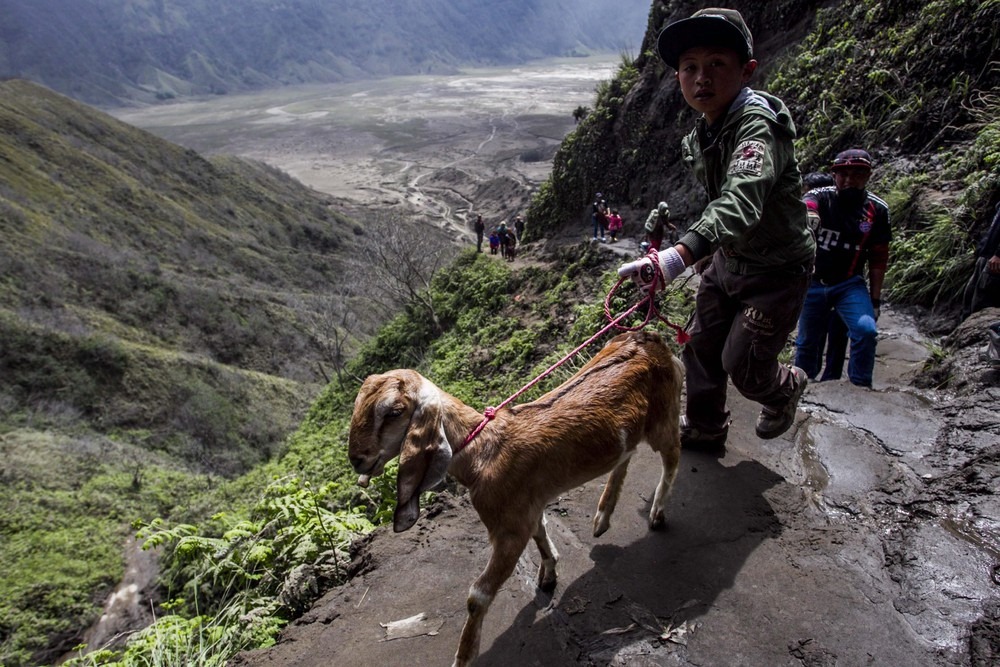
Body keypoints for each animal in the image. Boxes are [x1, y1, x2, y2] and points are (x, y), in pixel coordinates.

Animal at [348, 330, 684, 667]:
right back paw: (602, 517)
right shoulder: (527, 509)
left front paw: (463, 657)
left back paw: (656, 512)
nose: (357, 459)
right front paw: (549, 573)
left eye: (394, 412)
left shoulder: (509, 528)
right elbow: (541, 534)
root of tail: (648, 337)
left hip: (664, 416)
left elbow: (477, 595)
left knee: (672, 457)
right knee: (626, 455)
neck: (483, 452)